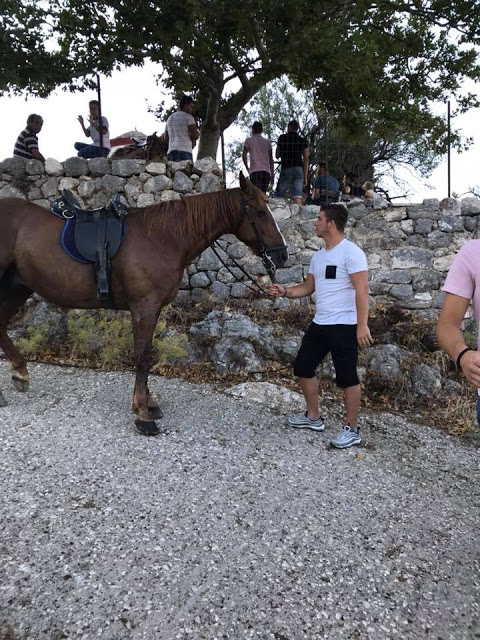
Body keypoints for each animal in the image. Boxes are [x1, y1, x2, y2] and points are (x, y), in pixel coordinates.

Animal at [0, 174, 284, 436]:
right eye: (260, 212)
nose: (282, 255)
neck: (162, 237)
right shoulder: (144, 308)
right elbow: (142, 357)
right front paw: (143, 414)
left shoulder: (152, 308)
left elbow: (146, 353)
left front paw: (148, 404)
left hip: (17, 288)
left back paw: (20, 373)